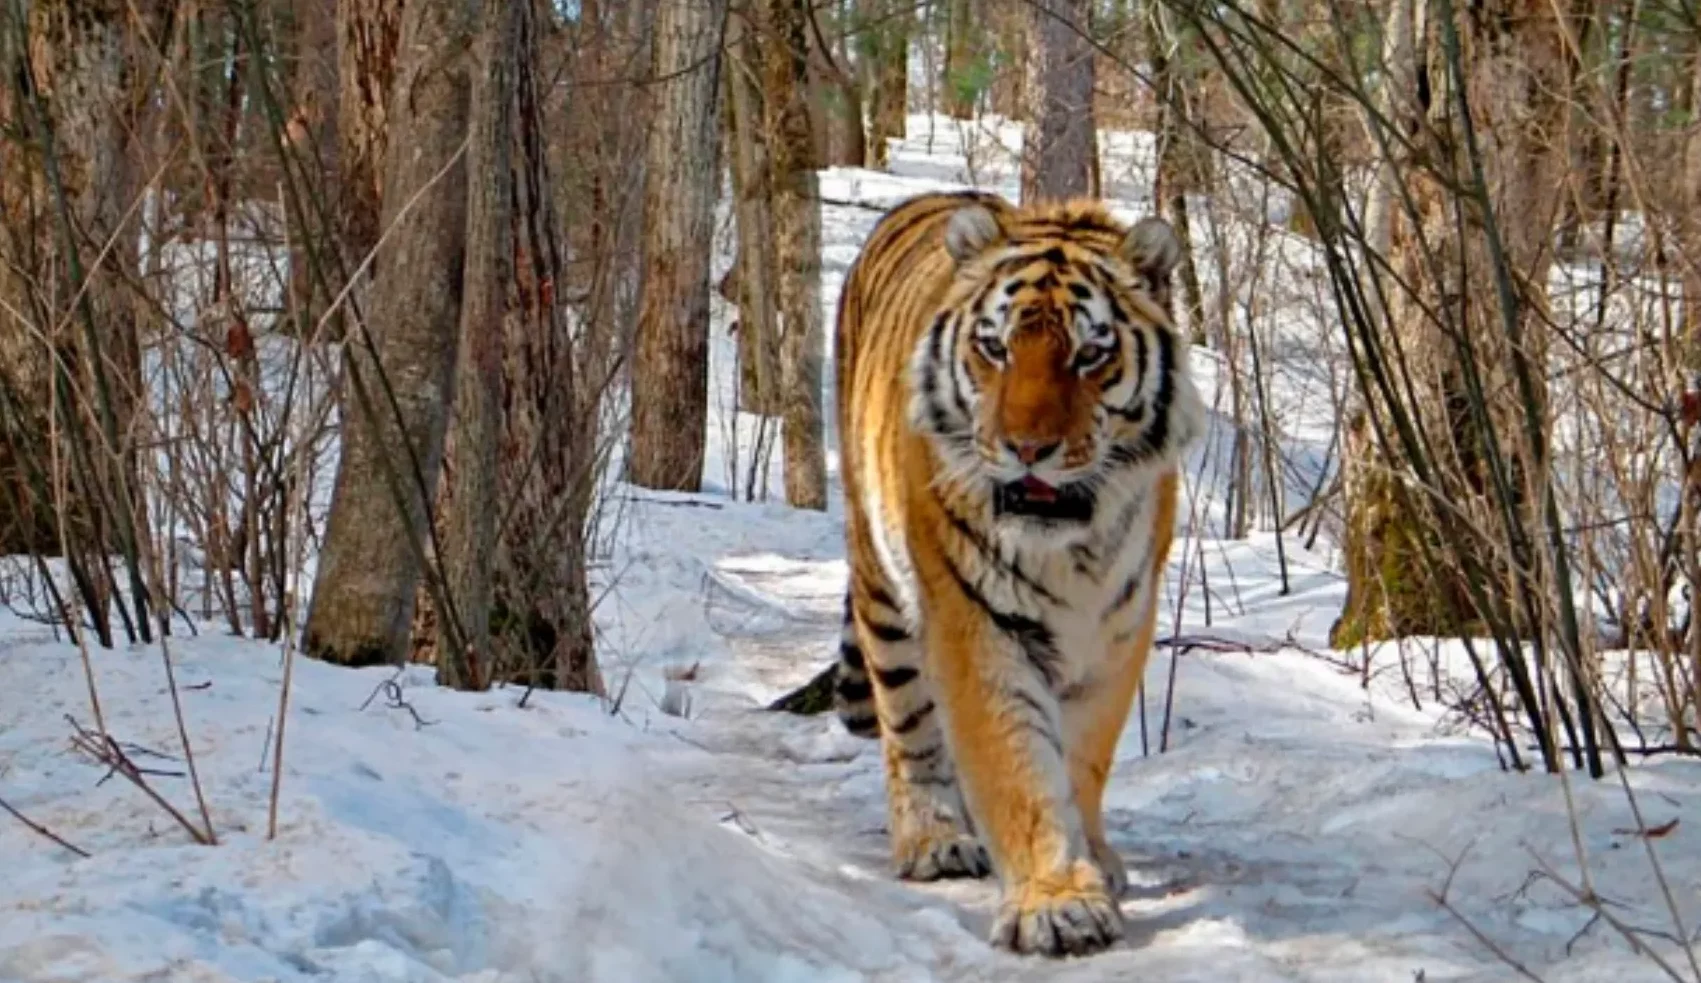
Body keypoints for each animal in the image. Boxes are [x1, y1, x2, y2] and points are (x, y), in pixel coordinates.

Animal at [826, 187, 1204, 952]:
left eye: (1090, 353)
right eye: (995, 347)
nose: (1027, 448)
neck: (1071, 552)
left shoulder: (1118, 629)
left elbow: (1080, 760)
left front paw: (1091, 860)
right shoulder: (975, 621)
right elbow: (1015, 764)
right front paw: (1055, 903)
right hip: (881, 587)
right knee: (908, 726)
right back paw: (934, 840)